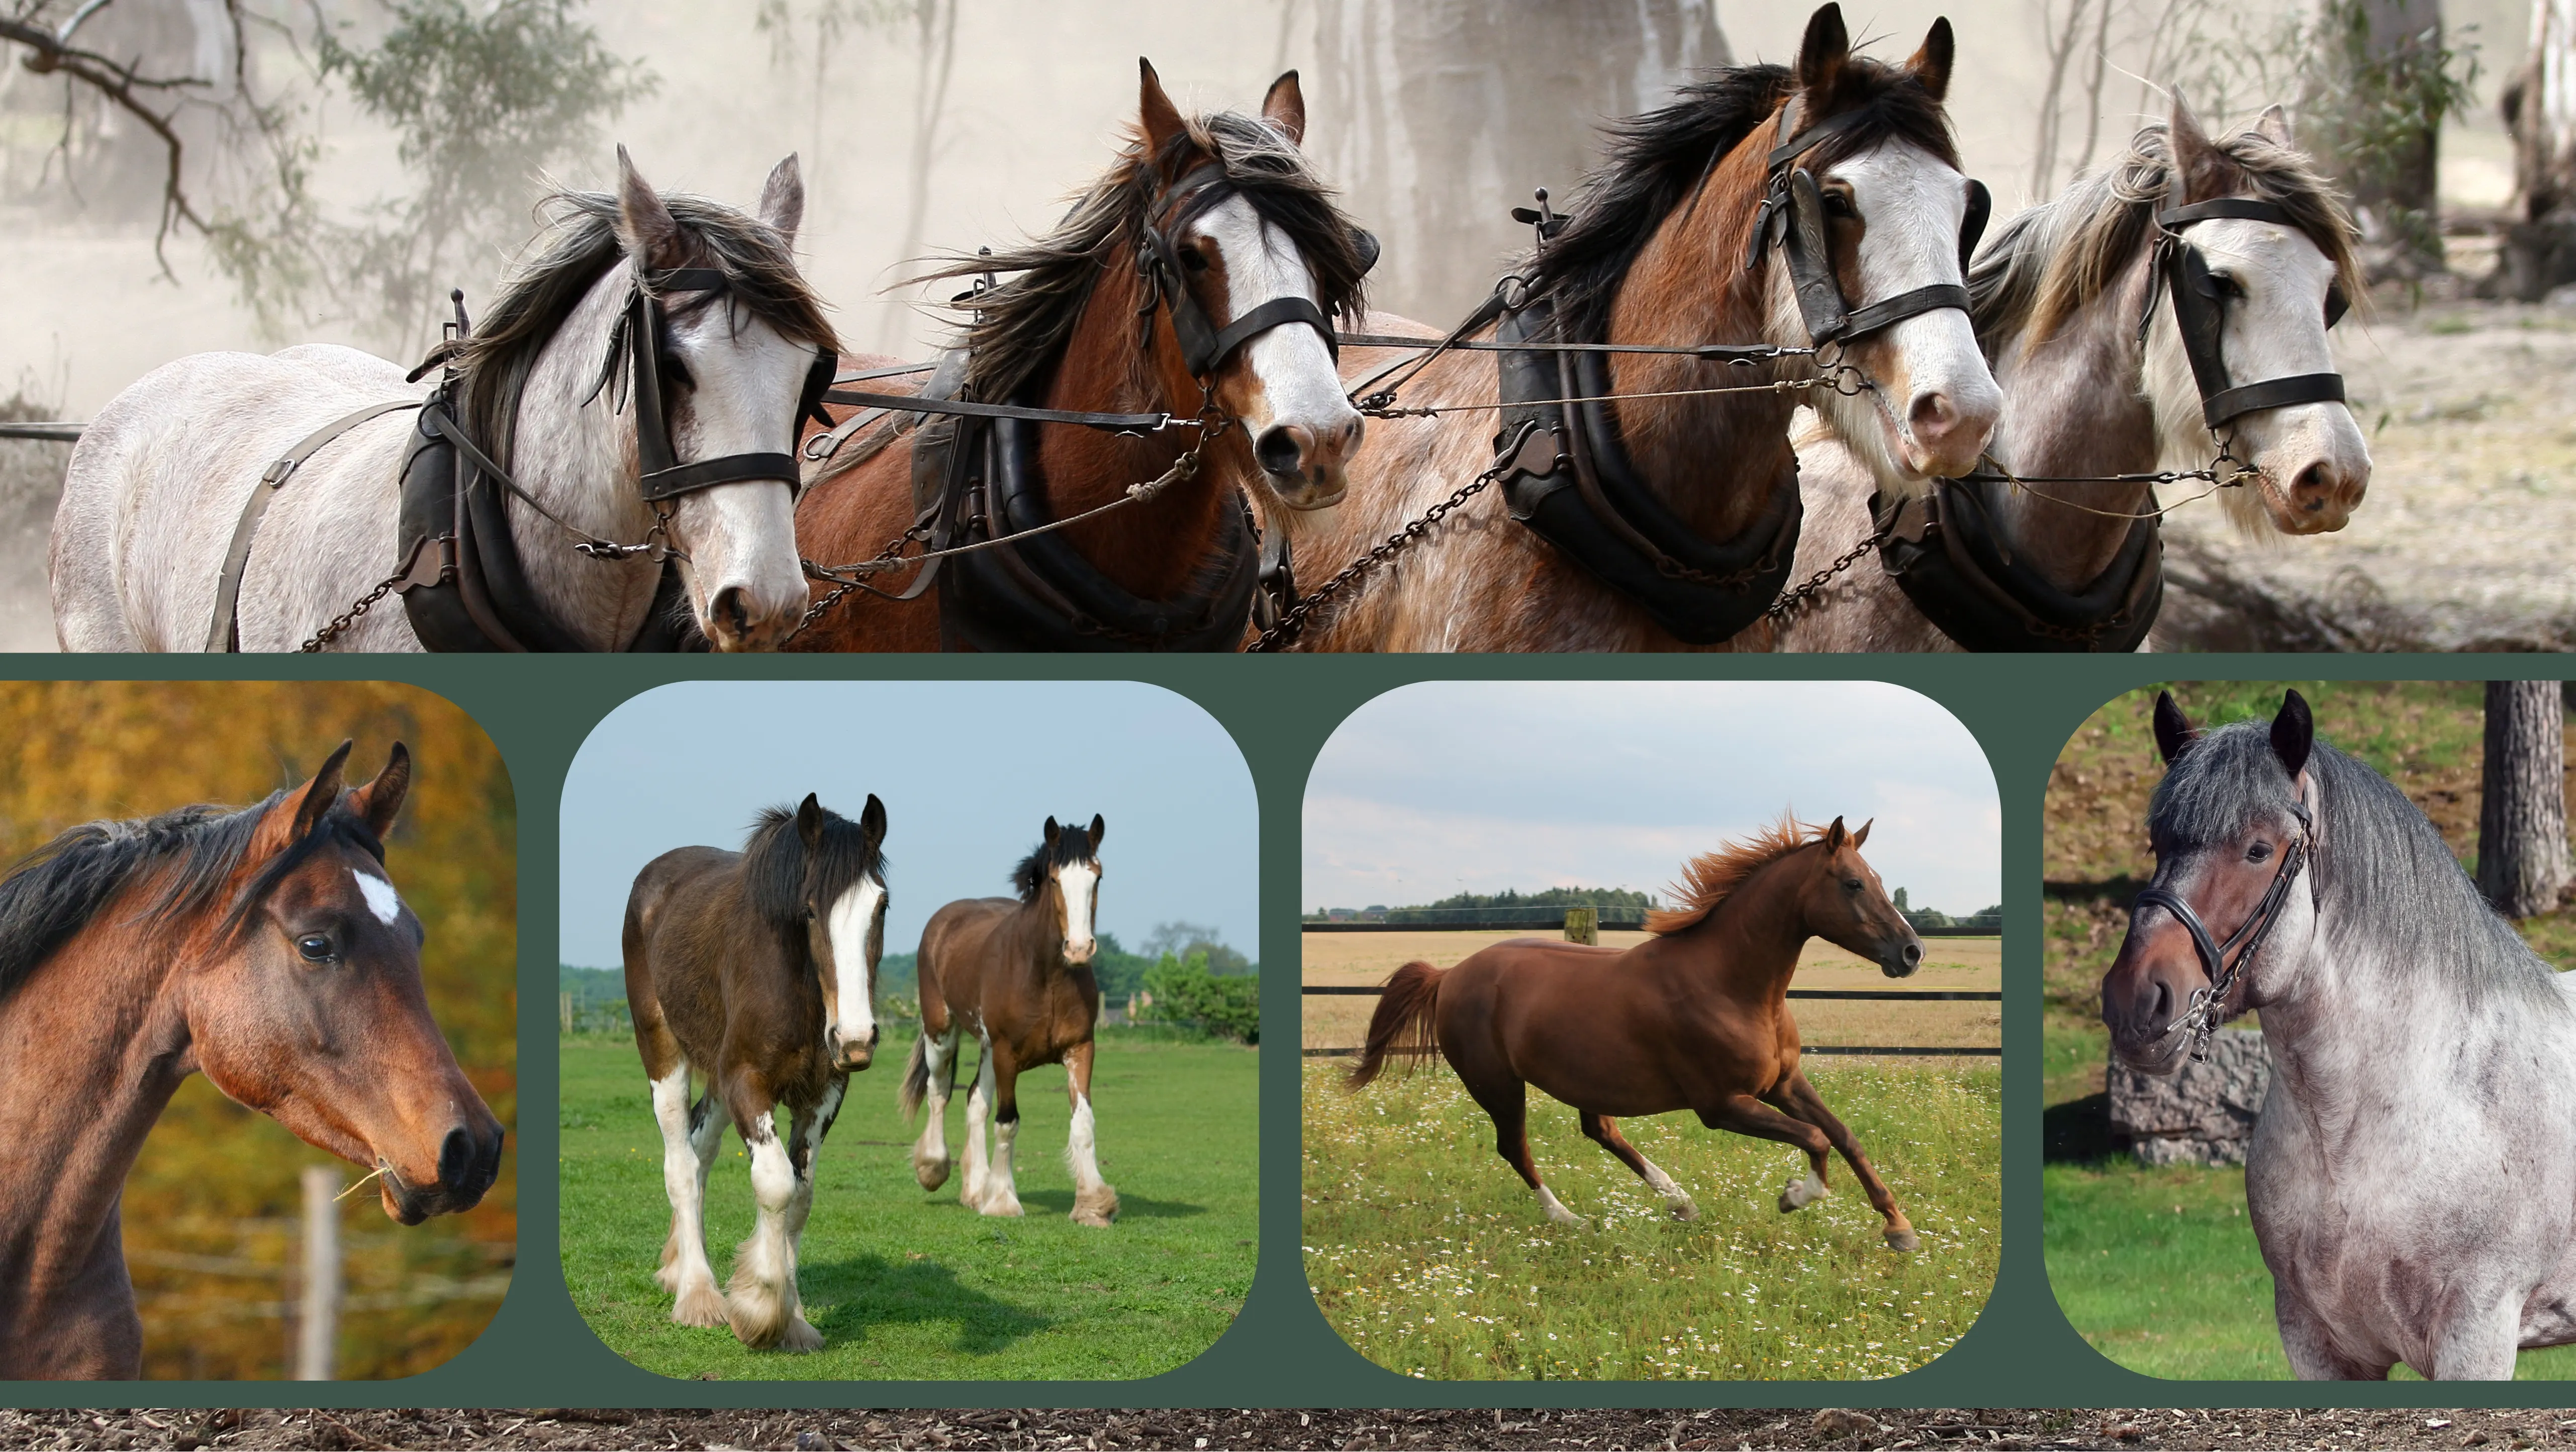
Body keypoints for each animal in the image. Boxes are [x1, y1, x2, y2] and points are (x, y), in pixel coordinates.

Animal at [621, 793, 889, 1352]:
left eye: (881, 905)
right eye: (809, 910)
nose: (854, 1040)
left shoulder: (823, 1093)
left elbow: (801, 1195)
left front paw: (795, 1319)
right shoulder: (747, 1081)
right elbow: (775, 1183)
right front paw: (761, 1308)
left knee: (700, 1147)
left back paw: (677, 1268)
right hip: (664, 1052)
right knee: (681, 1165)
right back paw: (697, 1294)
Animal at [901, 815, 1118, 1227]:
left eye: (1097, 877)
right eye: (1055, 880)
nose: (1079, 949)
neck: (1046, 976)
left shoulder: (1080, 1049)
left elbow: (1083, 1123)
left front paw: (1094, 1205)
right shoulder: (1006, 1055)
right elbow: (1007, 1122)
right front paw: (1002, 1201)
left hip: (986, 1048)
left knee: (974, 1101)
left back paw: (975, 1189)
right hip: (942, 1033)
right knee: (939, 1093)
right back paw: (934, 1167)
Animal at [1347, 816, 1927, 1248]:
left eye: (1879, 879)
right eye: (1853, 883)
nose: (1912, 952)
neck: (1731, 986)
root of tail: (1448, 975)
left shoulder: (1784, 1083)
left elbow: (1843, 1135)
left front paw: (1899, 1228)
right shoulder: (1721, 1104)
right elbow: (1814, 1139)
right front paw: (1793, 1196)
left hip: (1583, 1078)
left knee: (1600, 1131)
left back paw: (1680, 1201)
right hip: (1497, 1084)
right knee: (1515, 1147)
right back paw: (1569, 1219)